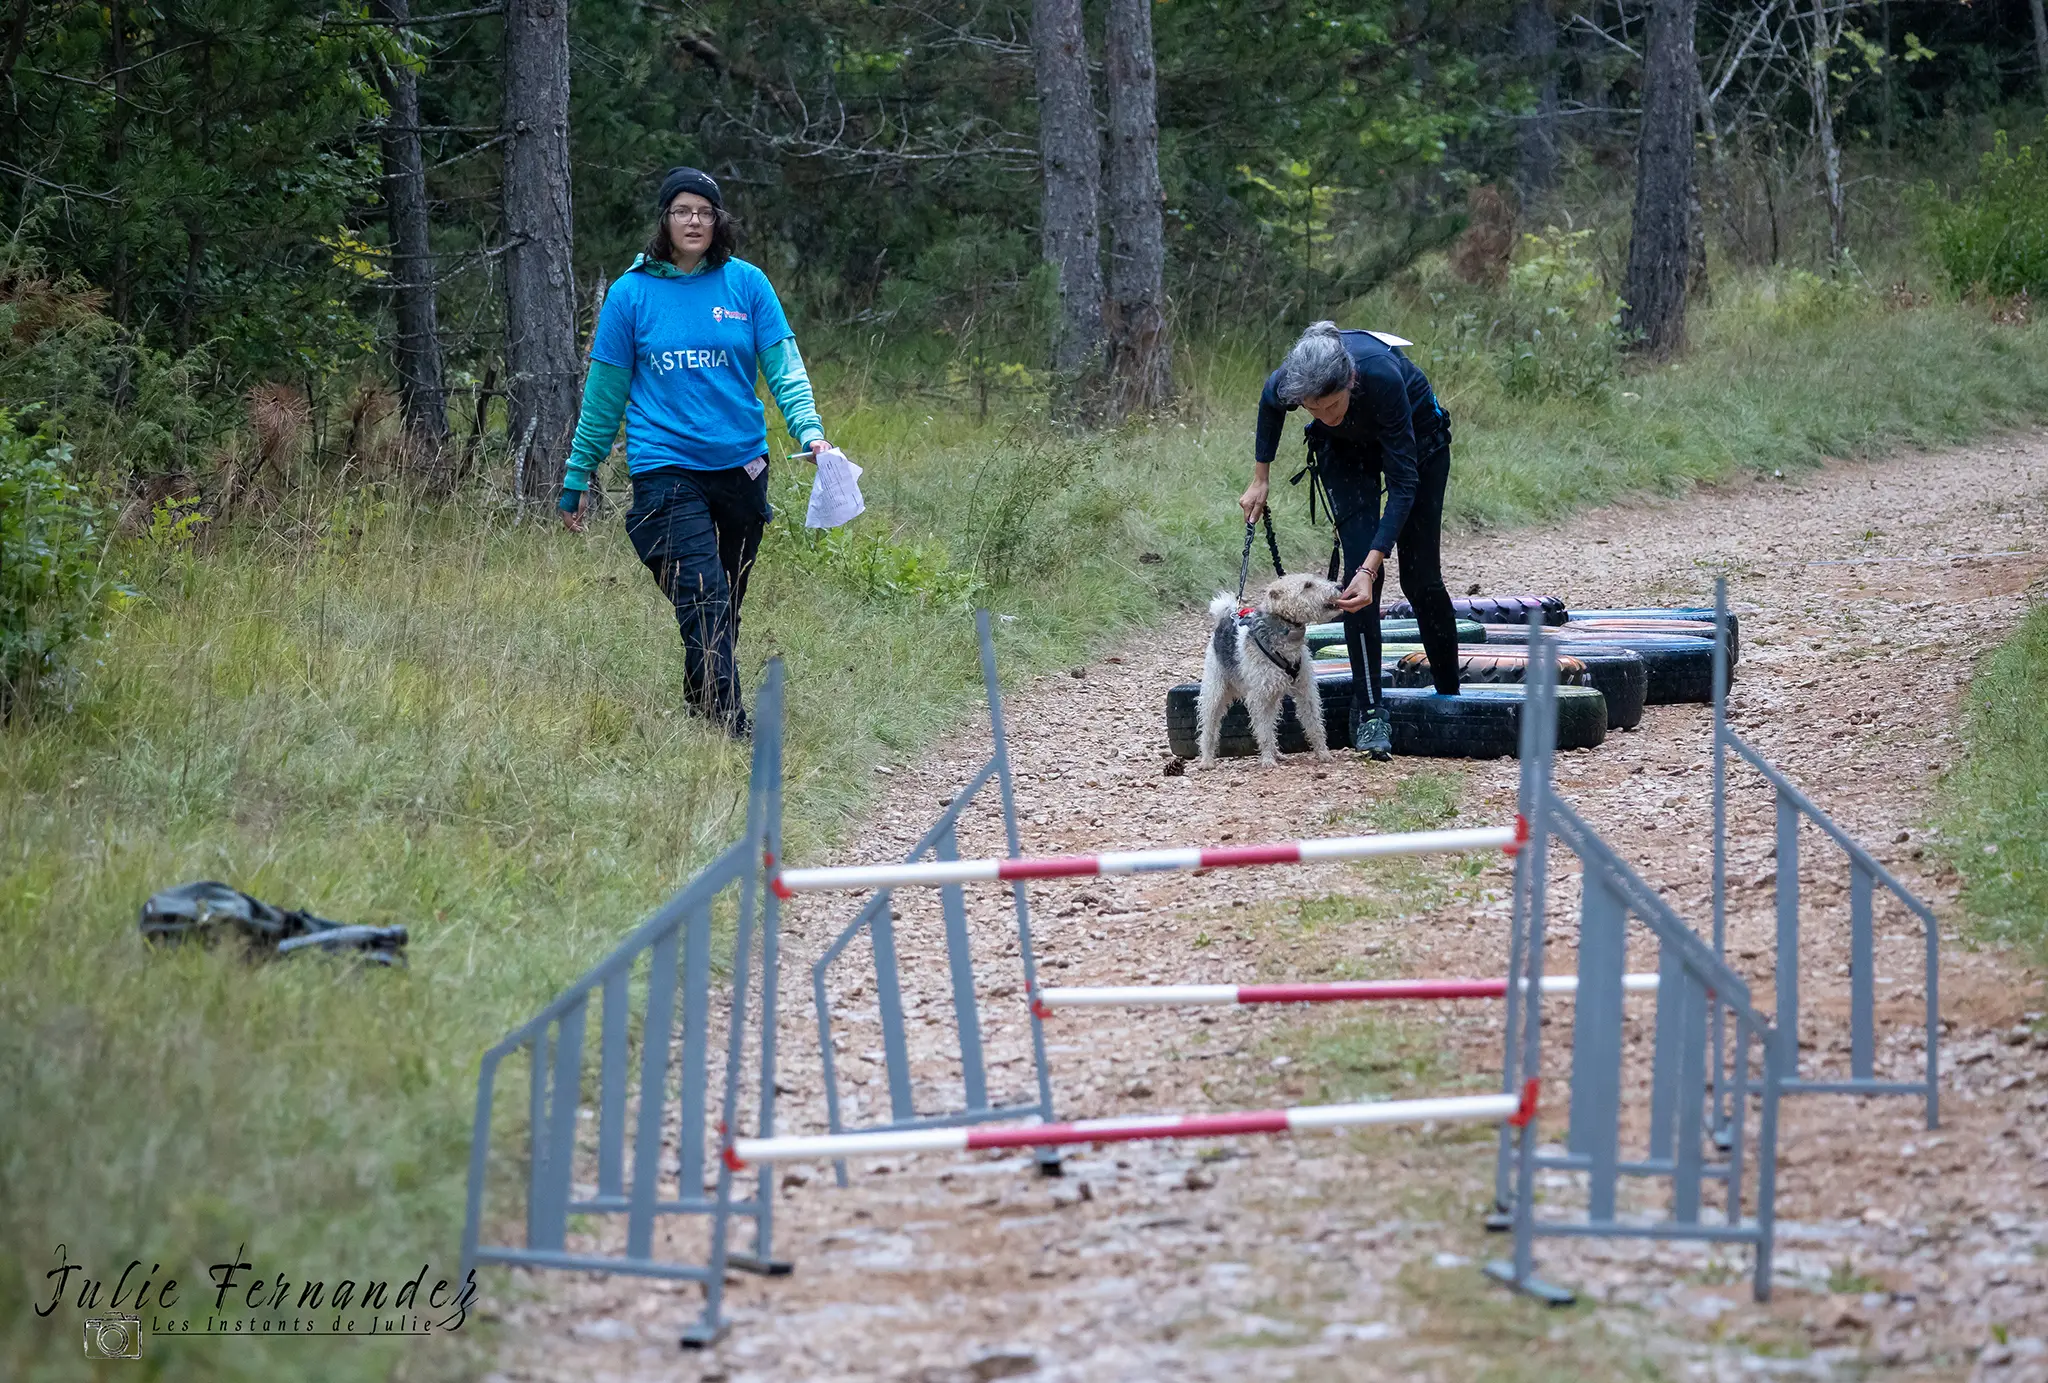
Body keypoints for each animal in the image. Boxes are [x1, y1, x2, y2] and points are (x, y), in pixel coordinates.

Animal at [1196, 573, 1343, 766]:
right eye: (1307, 585)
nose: (1340, 586)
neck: (1286, 636)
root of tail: (1226, 617)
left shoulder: (1305, 690)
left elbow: (1314, 724)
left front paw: (1324, 753)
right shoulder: (1259, 697)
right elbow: (1263, 731)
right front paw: (1267, 760)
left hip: (1272, 698)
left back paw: (1277, 753)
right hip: (1214, 692)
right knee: (1208, 727)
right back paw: (1206, 760)